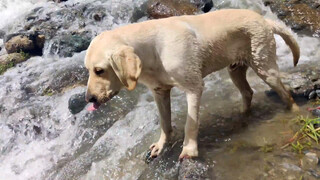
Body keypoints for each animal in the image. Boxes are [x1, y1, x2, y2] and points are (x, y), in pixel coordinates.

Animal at [84, 9, 300, 160]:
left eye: (99, 70)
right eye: (88, 69)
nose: (89, 99)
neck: (153, 50)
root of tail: (265, 20)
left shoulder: (194, 87)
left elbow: (191, 123)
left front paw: (189, 150)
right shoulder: (159, 91)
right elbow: (164, 123)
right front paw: (161, 145)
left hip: (266, 69)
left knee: (286, 94)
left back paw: (295, 113)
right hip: (235, 70)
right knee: (248, 92)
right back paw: (243, 114)